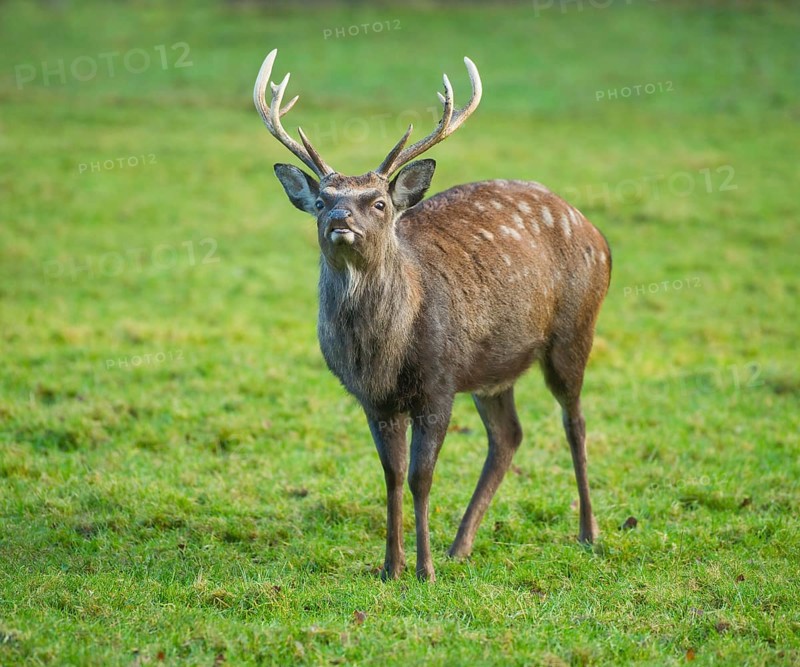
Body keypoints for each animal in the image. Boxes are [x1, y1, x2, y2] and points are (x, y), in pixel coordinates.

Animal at [254, 49, 611, 582]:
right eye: (321, 200)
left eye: (379, 202)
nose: (340, 220)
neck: (384, 356)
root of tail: (599, 236)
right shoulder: (373, 400)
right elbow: (392, 475)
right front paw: (391, 566)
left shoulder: (439, 384)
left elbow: (422, 477)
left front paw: (422, 570)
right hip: (492, 368)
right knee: (508, 435)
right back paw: (460, 545)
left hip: (574, 330)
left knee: (576, 421)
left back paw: (588, 532)